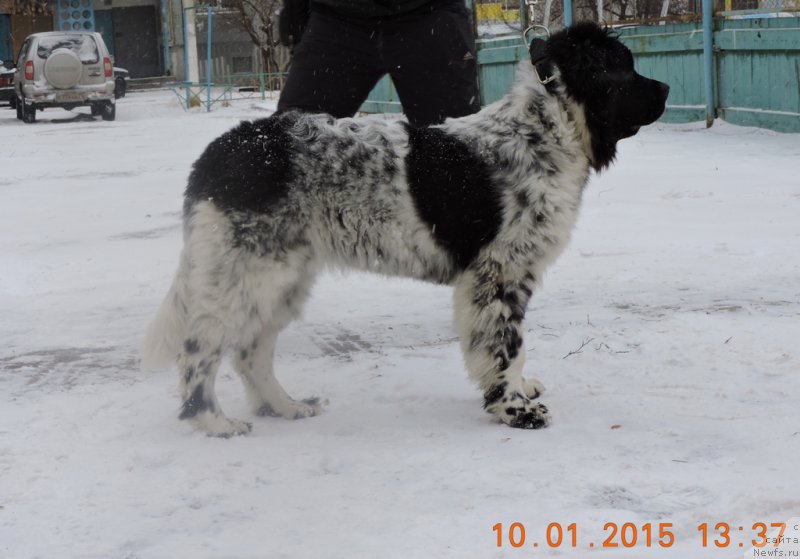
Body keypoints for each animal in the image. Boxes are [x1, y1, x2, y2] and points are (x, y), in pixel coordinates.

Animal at [142, 23, 668, 438]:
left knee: (251, 351)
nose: (664, 89)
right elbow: (505, 346)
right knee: (200, 349)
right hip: (243, 272)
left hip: (280, 277)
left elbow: (511, 348)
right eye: (623, 69)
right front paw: (514, 409)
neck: (542, 132)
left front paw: (519, 391)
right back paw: (212, 421)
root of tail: (223, 151)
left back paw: (285, 406)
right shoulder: (497, 273)